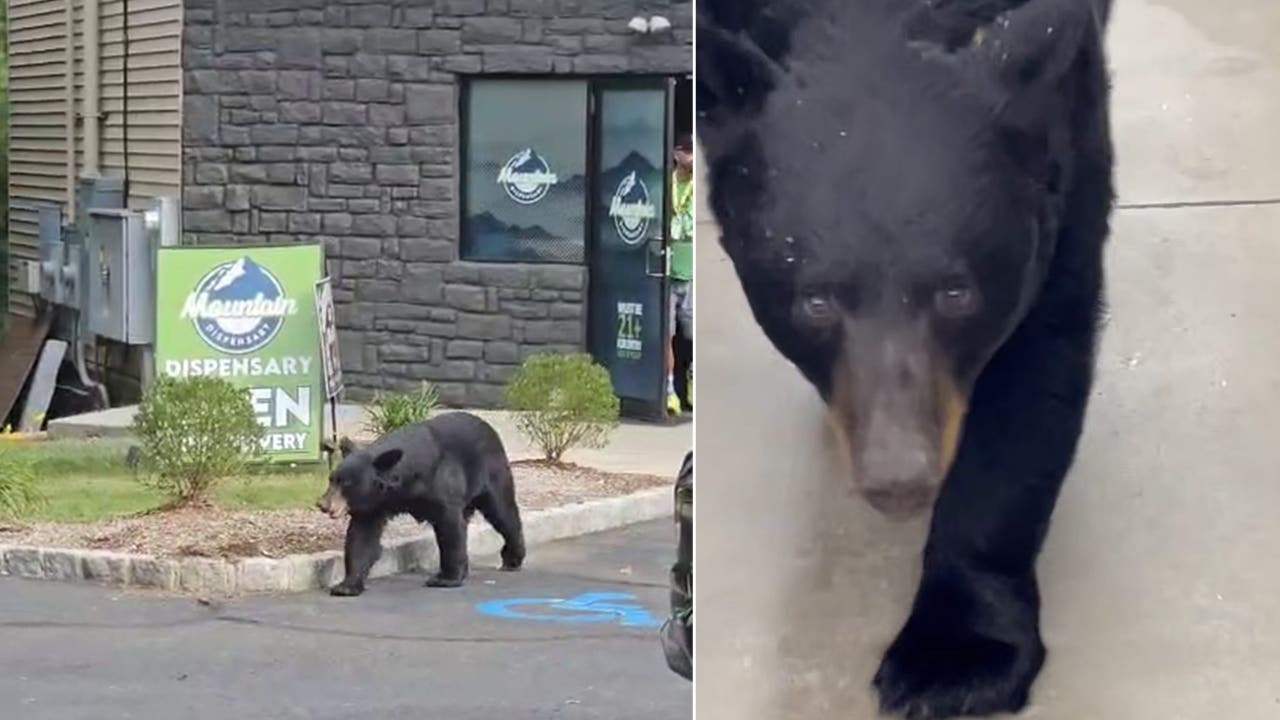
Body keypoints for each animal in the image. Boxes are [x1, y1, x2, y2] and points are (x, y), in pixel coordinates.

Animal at [316, 411, 526, 597]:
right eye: (331, 479)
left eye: (346, 483)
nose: (322, 504)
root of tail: (490, 429)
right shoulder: (374, 503)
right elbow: (362, 536)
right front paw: (346, 586)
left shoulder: (440, 484)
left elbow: (449, 526)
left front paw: (446, 578)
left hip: (492, 472)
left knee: (503, 512)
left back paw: (512, 558)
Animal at [697, 0, 1114, 717]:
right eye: (815, 301)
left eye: (956, 292)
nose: (900, 478)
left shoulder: (1068, 144)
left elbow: (1035, 369)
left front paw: (955, 658)